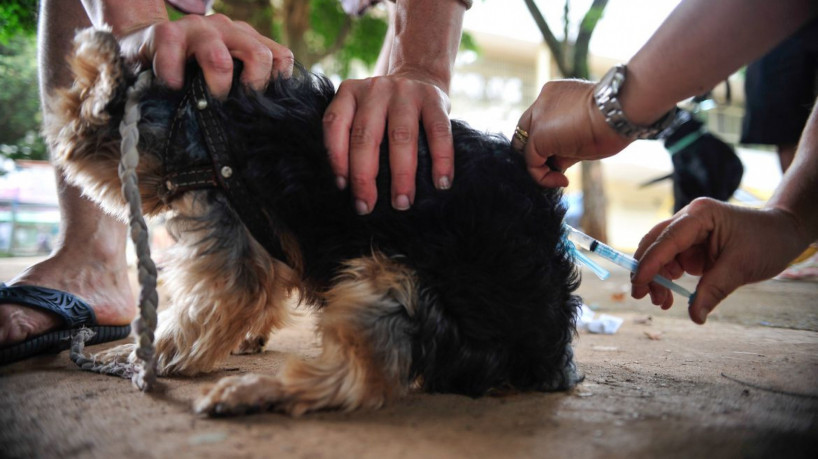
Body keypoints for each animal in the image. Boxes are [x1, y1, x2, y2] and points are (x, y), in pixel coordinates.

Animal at [46, 27, 580, 416]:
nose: (51, 135)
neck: (194, 118)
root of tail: (550, 356)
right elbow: (262, 293)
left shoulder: (234, 240)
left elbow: (204, 311)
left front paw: (138, 354)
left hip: (396, 281)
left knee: (359, 380)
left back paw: (254, 394)